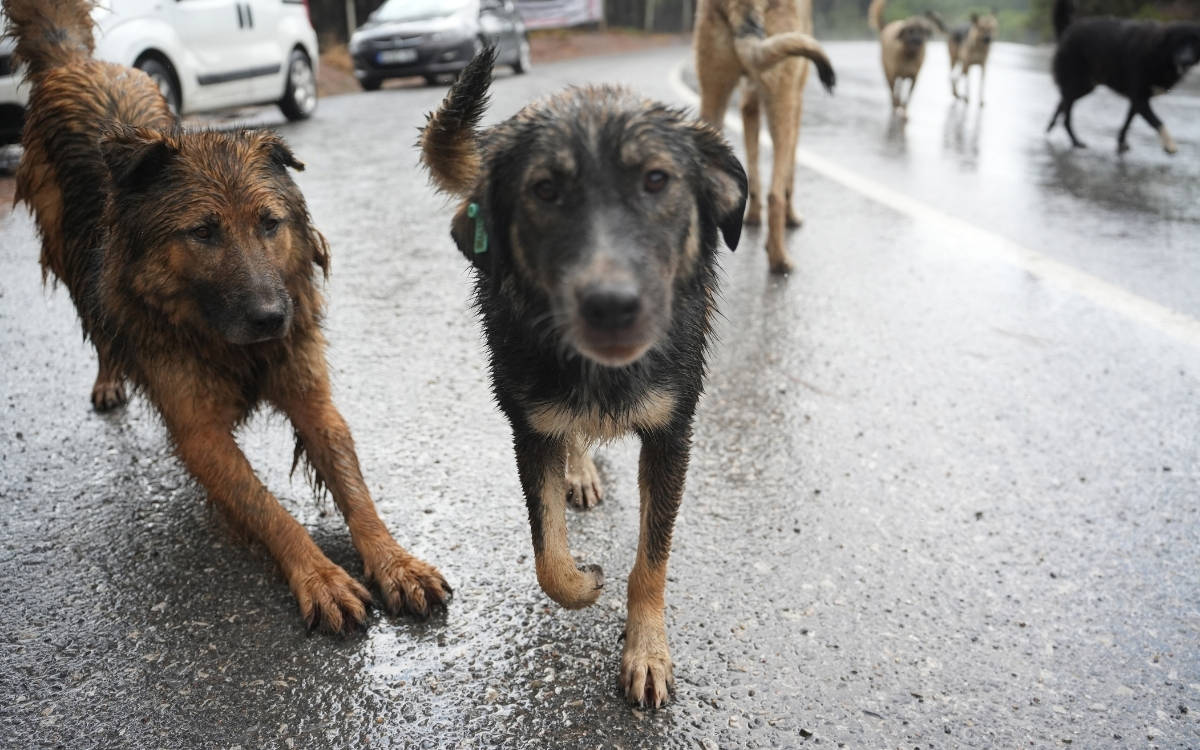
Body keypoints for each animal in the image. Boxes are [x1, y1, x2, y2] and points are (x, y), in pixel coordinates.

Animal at [3, 0, 451, 633]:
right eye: (203, 233)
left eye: (269, 224)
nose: (271, 318)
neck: (230, 344)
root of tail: (76, 63)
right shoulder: (200, 432)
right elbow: (266, 508)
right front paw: (320, 576)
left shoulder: (312, 395)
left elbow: (355, 487)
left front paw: (394, 561)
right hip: (69, 258)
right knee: (101, 329)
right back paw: (110, 378)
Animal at [417, 49, 744, 705]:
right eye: (545, 190)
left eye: (656, 180)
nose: (611, 306)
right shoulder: (529, 428)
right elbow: (549, 559)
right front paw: (587, 581)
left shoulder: (672, 434)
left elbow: (652, 560)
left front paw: (646, 651)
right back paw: (580, 471)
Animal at [696, 0, 835, 274]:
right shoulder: (795, 106)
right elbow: (788, 176)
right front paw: (791, 217)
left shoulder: (748, 105)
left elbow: (752, 167)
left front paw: (751, 217)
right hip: (781, 103)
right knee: (775, 196)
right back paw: (780, 259)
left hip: (713, 98)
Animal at [1046, 0, 1200, 153]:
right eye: (1178, 43)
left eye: (1194, 43)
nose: (1186, 59)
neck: (1157, 53)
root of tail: (1068, 29)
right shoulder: (1139, 98)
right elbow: (1157, 121)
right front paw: (1170, 145)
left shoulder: (1137, 99)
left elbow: (1128, 121)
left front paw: (1121, 141)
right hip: (1078, 84)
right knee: (1066, 115)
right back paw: (1075, 141)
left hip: (1085, 86)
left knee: (1062, 103)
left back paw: (1051, 126)